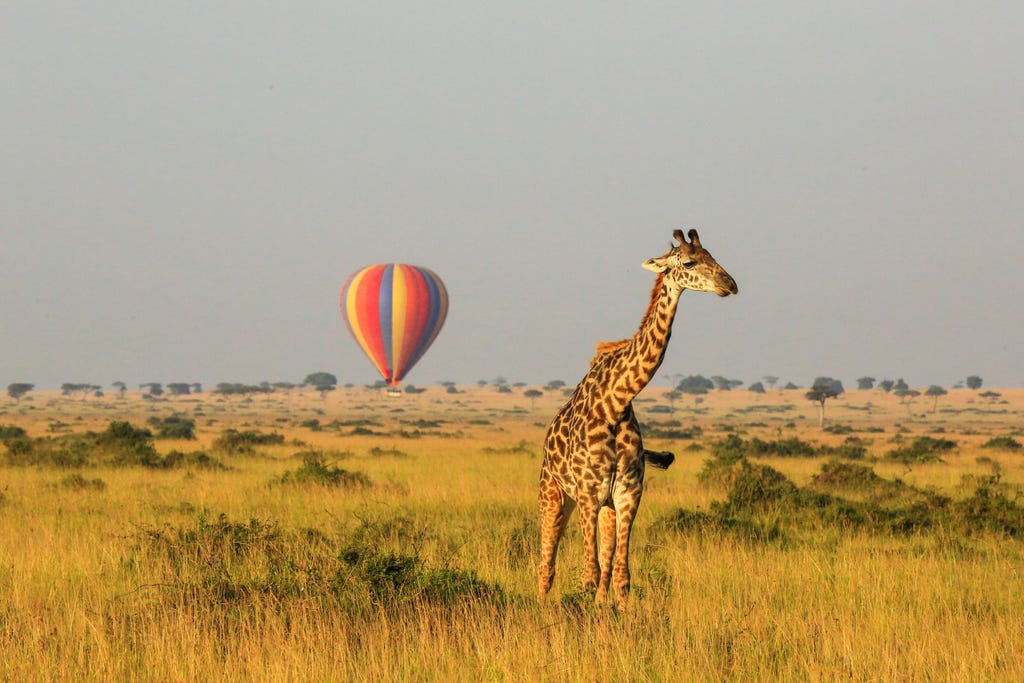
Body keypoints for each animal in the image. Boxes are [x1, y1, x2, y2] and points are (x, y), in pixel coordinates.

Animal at [536, 231, 737, 610]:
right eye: (690, 262)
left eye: (714, 256)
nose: (730, 284)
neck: (615, 402)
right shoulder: (588, 493)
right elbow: (588, 574)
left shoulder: (628, 493)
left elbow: (619, 576)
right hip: (553, 494)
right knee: (546, 565)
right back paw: (541, 607)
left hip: (605, 507)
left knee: (601, 566)